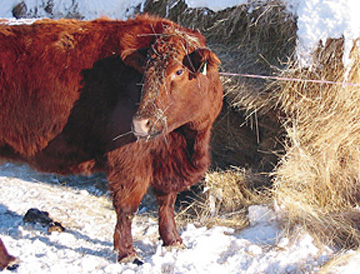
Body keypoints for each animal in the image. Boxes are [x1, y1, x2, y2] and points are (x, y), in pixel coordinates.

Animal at [0, 13, 224, 268]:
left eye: (178, 72)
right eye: (145, 73)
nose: (140, 124)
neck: (186, 139)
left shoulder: (165, 163)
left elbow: (167, 202)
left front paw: (173, 240)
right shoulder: (128, 161)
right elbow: (127, 207)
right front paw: (128, 252)